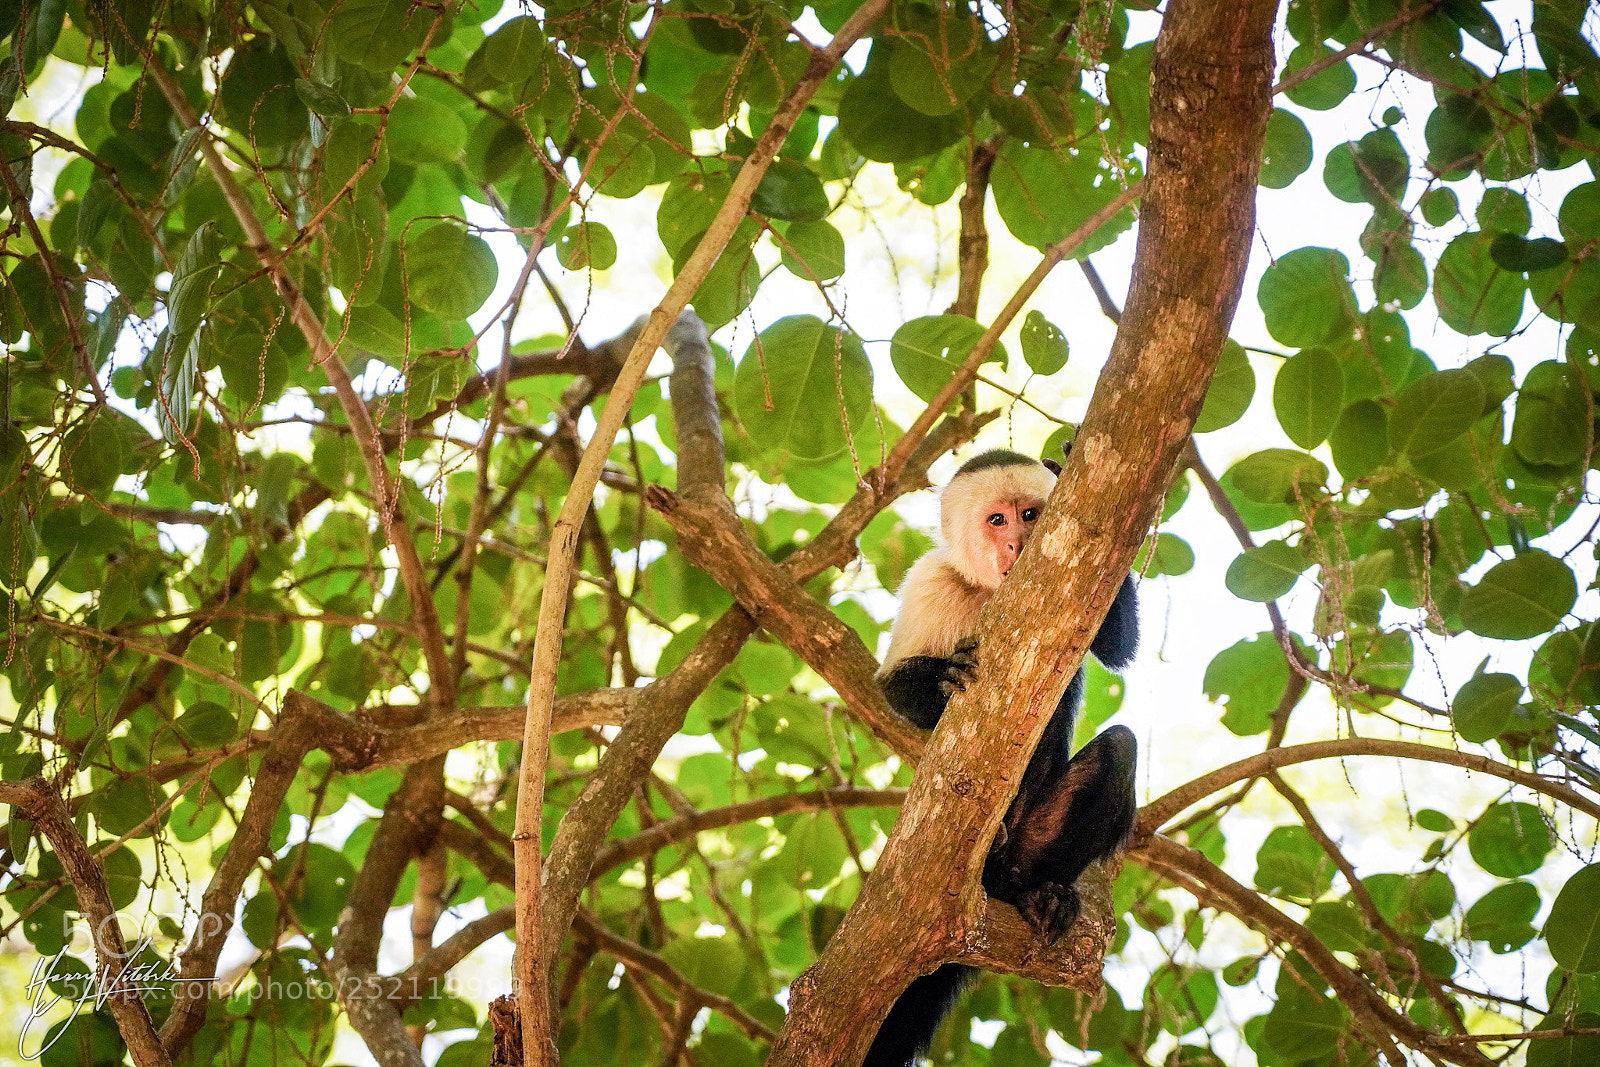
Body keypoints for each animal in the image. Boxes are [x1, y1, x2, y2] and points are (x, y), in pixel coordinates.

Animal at [864, 448, 1140, 1067]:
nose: (1016, 543)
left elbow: (1118, 648)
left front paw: (1064, 464)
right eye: (997, 520)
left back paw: (1036, 893)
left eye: (1031, 514)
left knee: (1120, 751)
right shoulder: (930, 582)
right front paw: (944, 680)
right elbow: (891, 684)